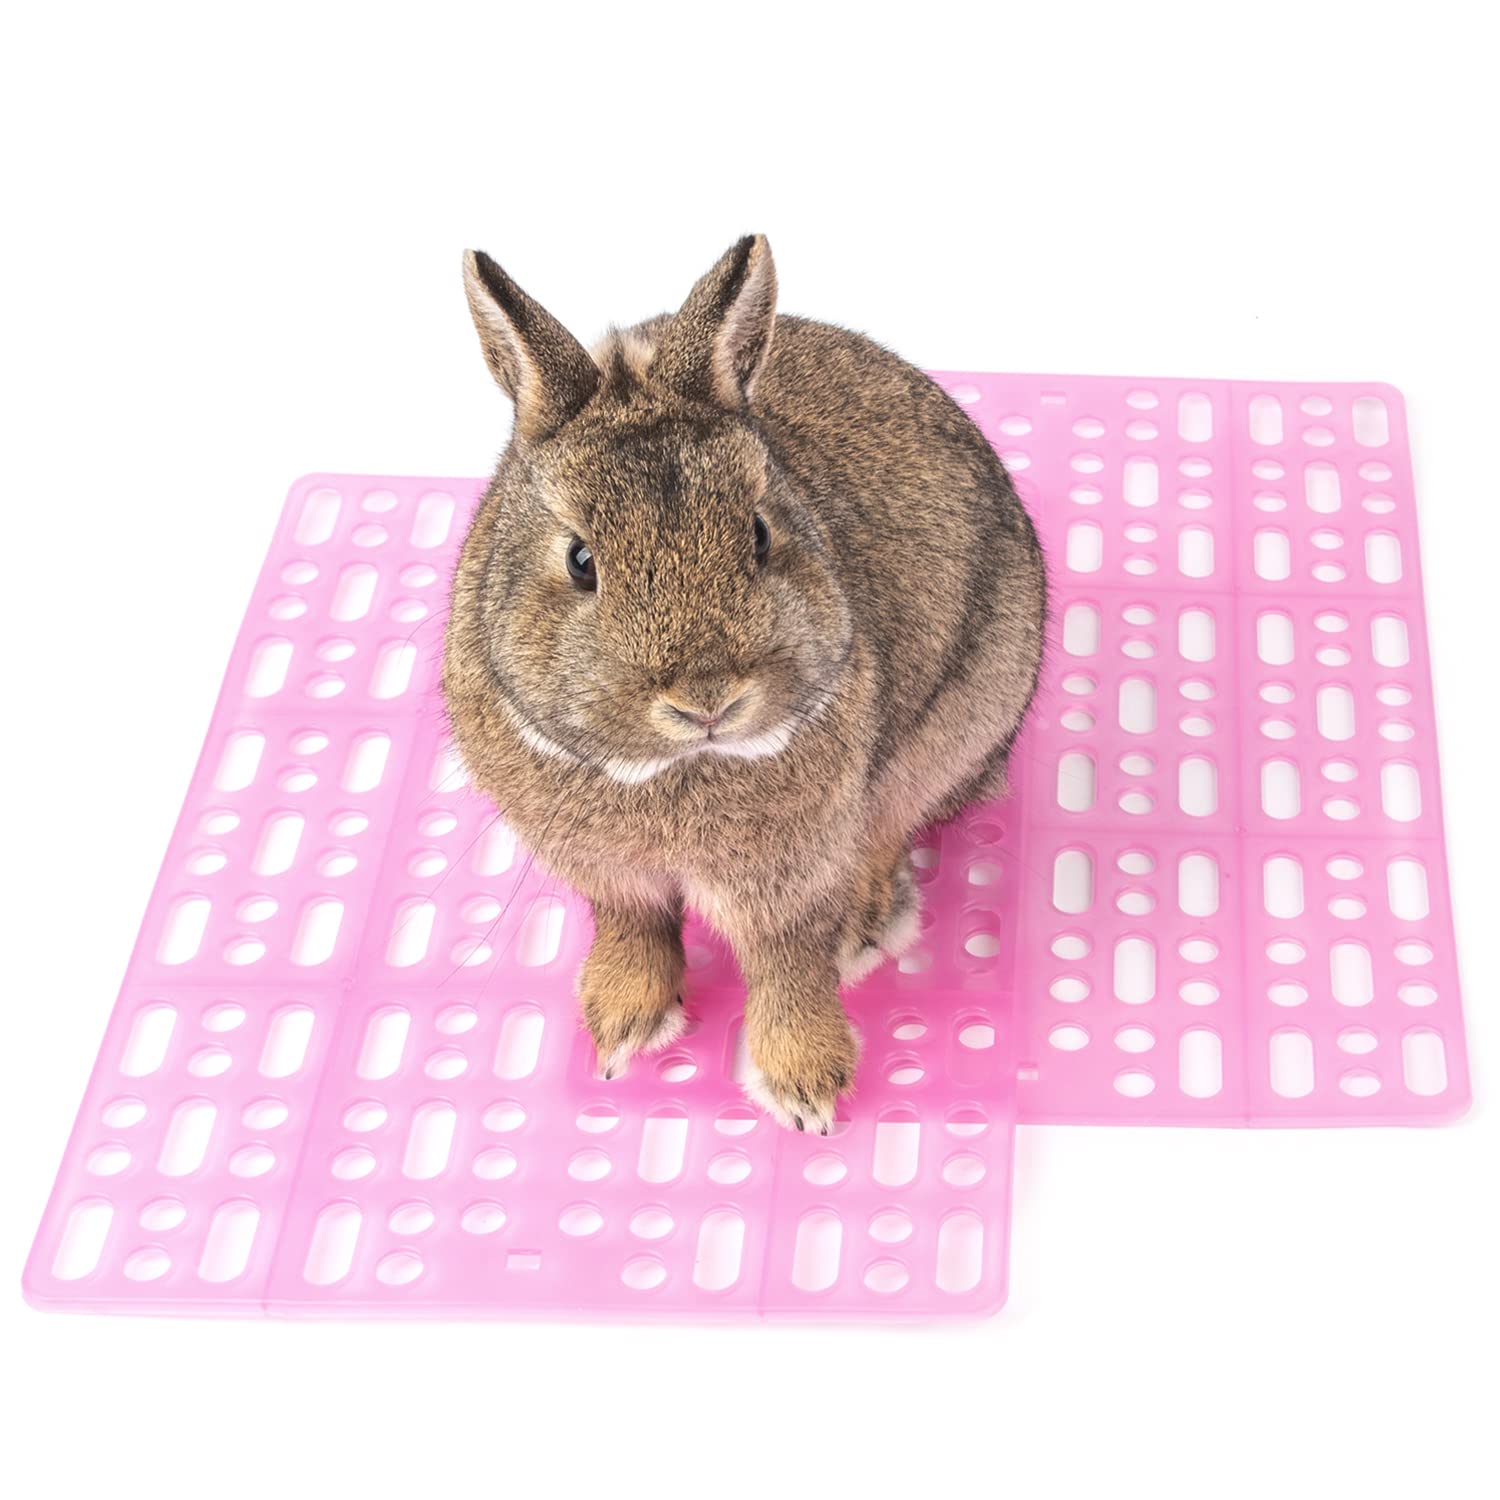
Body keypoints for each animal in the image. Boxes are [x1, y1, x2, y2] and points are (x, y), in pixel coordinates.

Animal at [444, 235, 1046, 1132]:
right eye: (581, 560)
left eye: (758, 534)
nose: (706, 699)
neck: (675, 770)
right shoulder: (608, 876)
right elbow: (635, 932)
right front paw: (621, 1031)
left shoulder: (787, 879)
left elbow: (787, 967)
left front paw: (806, 1090)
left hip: (964, 717)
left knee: (890, 829)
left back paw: (864, 924)